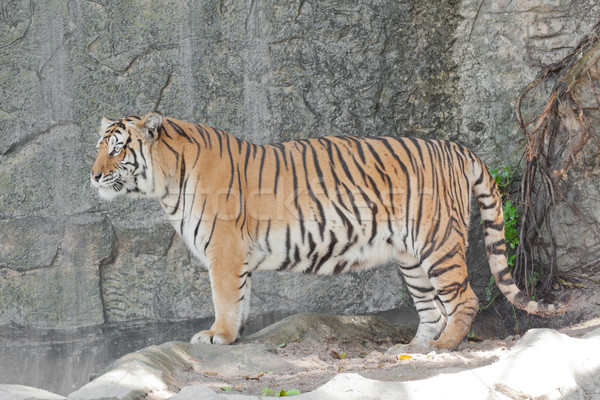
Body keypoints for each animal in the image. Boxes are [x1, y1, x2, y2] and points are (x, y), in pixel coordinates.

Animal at [89, 111, 572, 348]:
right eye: (99, 148)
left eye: (117, 149)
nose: (92, 176)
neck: (167, 180)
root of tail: (457, 148)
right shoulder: (235, 255)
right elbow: (241, 298)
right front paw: (235, 335)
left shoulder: (223, 249)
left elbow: (224, 298)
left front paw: (217, 336)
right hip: (411, 256)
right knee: (432, 309)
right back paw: (411, 348)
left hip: (438, 243)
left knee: (464, 299)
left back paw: (444, 347)